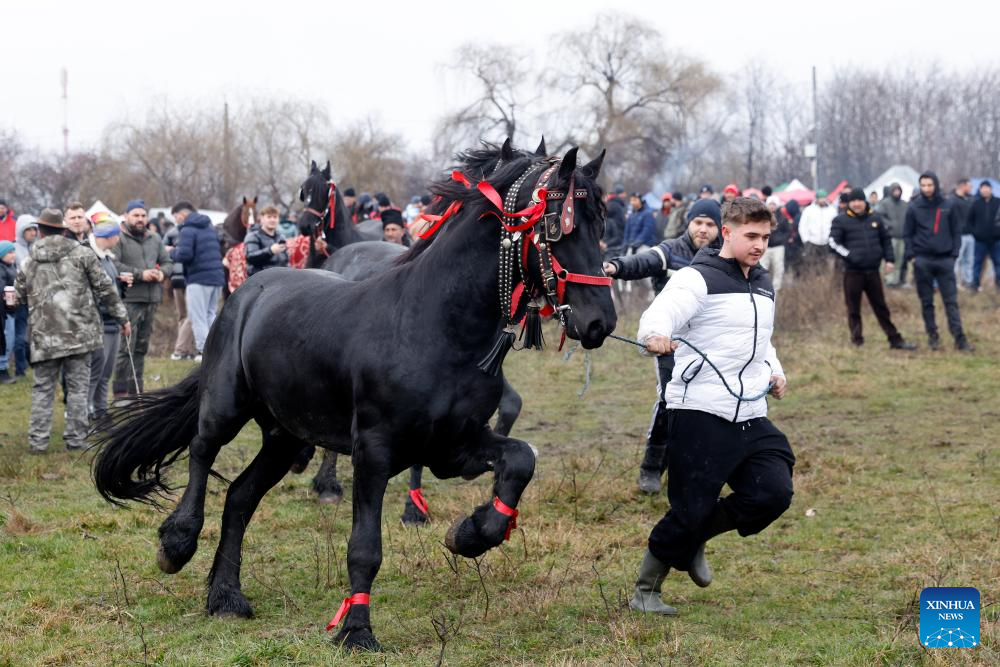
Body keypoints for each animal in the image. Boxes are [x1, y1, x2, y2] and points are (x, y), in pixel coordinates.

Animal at [92, 145, 615, 652]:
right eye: (558, 225)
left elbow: (521, 459)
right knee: (202, 451)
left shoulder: (454, 447)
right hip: (226, 404)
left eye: (602, 223)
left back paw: (226, 597)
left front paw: (470, 533)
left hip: (285, 435)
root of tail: (248, 289)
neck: (436, 327)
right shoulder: (375, 451)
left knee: (240, 498)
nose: (599, 322)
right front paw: (356, 631)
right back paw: (177, 542)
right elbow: (365, 547)